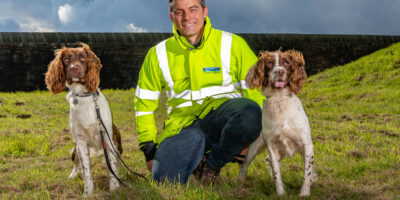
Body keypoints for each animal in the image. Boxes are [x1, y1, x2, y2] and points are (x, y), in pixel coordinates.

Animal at [44, 43, 122, 196]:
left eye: (83, 58)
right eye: (66, 59)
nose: (75, 68)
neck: (83, 96)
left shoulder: (107, 137)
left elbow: (112, 165)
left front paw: (115, 187)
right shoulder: (81, 142)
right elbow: (86, 170)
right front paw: (88, 192)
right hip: (76, 151)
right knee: (76, 164)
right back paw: (72, 176)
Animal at [239, 50, 318, 197]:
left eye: (286, 63)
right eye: (270, 63)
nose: (279, 72)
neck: (279, 100)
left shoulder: (307, 145)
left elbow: (307, 171)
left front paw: (304, 193)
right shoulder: (272, 147)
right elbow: (277, 173)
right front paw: (281, 193)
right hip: (254, 147)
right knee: (245, 164)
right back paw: (239, 182)